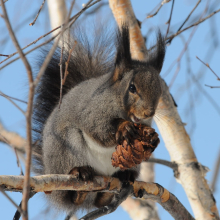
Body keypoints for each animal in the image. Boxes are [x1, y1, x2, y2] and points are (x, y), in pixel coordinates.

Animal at [31, 23, 166, 215]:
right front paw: (123, 127)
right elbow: (97, 128)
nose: (148, 113)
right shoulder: (92, 110)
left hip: (131, 166)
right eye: (132, 87)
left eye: (160, 90)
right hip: (67, 147)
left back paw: (119, 181)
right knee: (73, 195)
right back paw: (80, 176)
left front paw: (152, 137)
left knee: (99, 201)